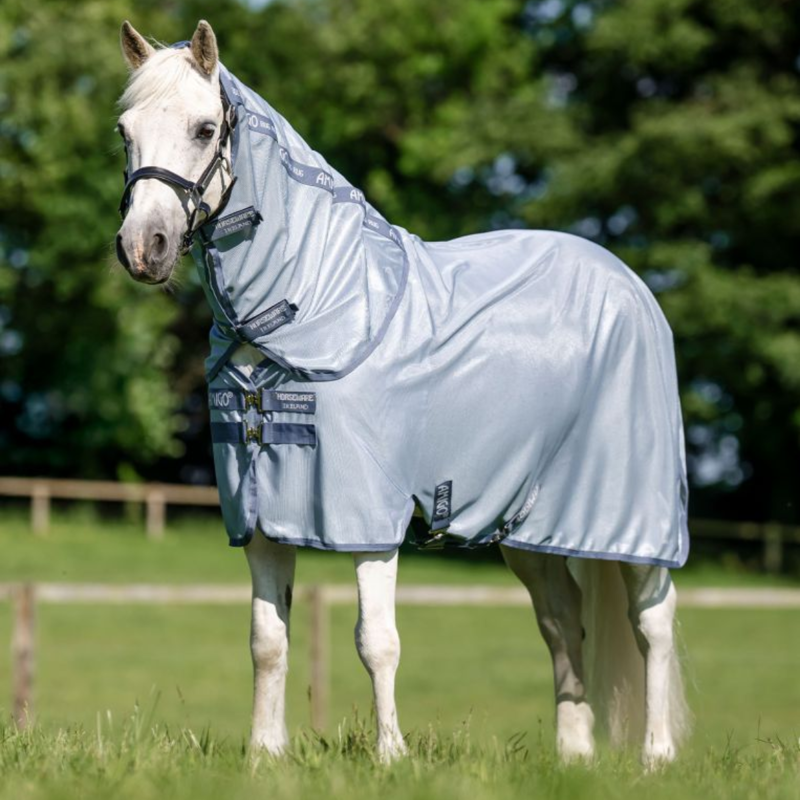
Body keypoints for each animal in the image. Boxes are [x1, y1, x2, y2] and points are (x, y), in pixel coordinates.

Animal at [114, 20, 690, 766]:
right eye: (125, 130)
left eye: (205, 127)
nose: (142, 248)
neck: (319, 304)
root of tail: (631, 286)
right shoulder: (261, 515)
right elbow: (267, 642)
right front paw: (264, 755)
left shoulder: (368, 517)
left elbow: (376, 642)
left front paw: (391, 755)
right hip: (529, 526)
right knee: (563, 621)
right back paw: (573, 757)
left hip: (634, 517)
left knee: (653, 622)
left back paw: (657, 756)